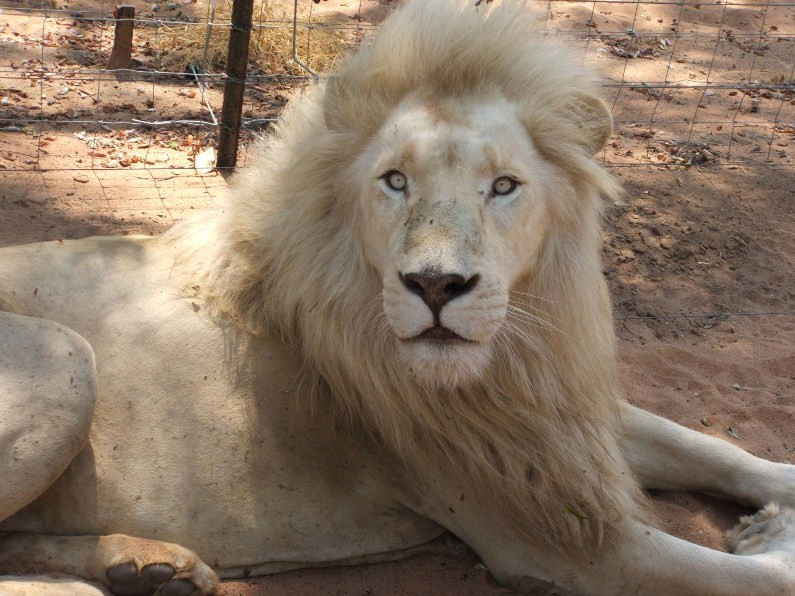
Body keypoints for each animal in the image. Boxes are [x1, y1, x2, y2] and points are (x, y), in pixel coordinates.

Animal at [1, 0, 794, 594]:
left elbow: (709, 444)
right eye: (394, 181)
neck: (509, 360)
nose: (437, 285)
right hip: (67, 358)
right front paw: (767, 532)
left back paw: (147, 566)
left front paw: (773, 495)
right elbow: (761, 578)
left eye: (503, 185)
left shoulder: (553, 419)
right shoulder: (555, 543)